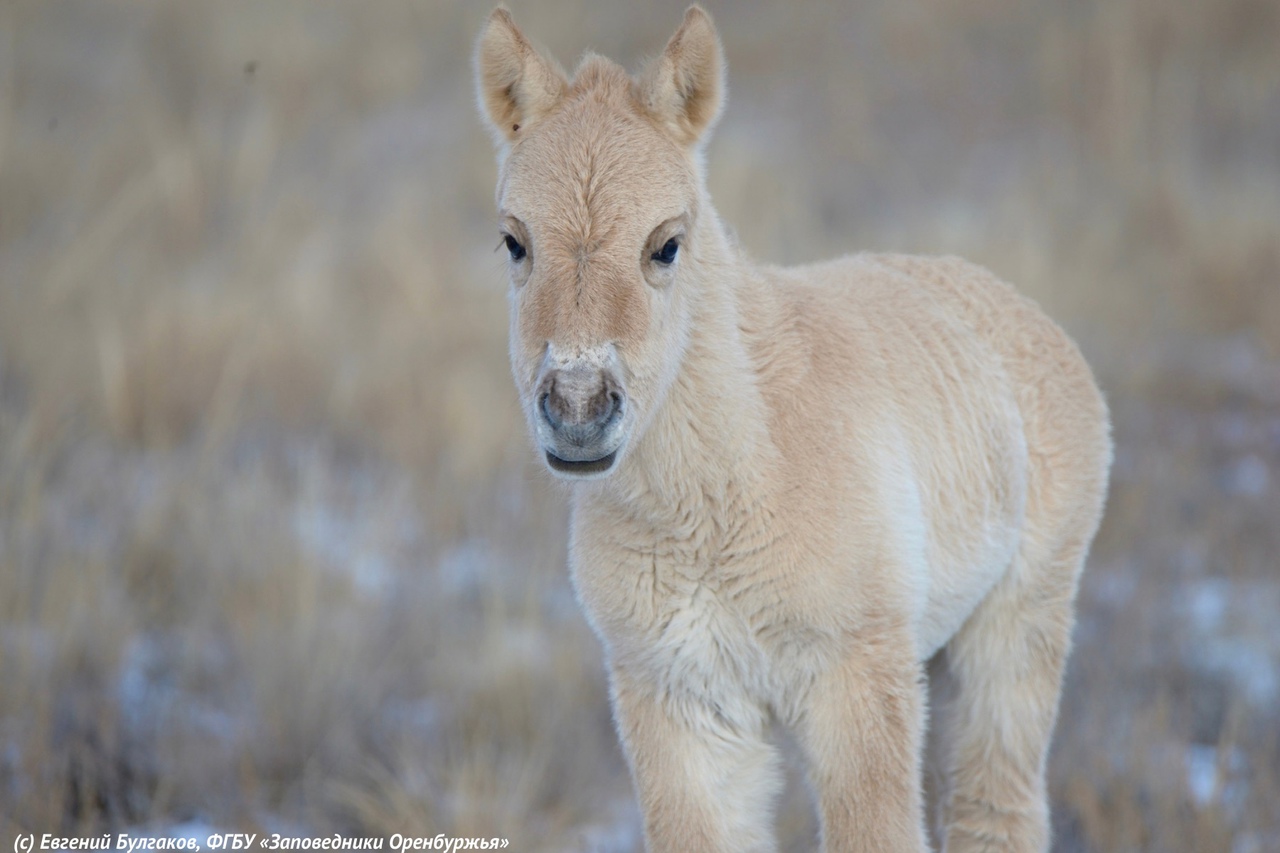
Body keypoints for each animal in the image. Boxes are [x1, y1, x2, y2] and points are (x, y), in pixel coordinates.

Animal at [476, 8, 1105, 850]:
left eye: (666, 243)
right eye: (516, 241)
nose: (579, 409)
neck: (736, 486)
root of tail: (1010, 302)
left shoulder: (856, 683)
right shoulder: (681, 703)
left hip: (1015, 628)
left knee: (996, 808)